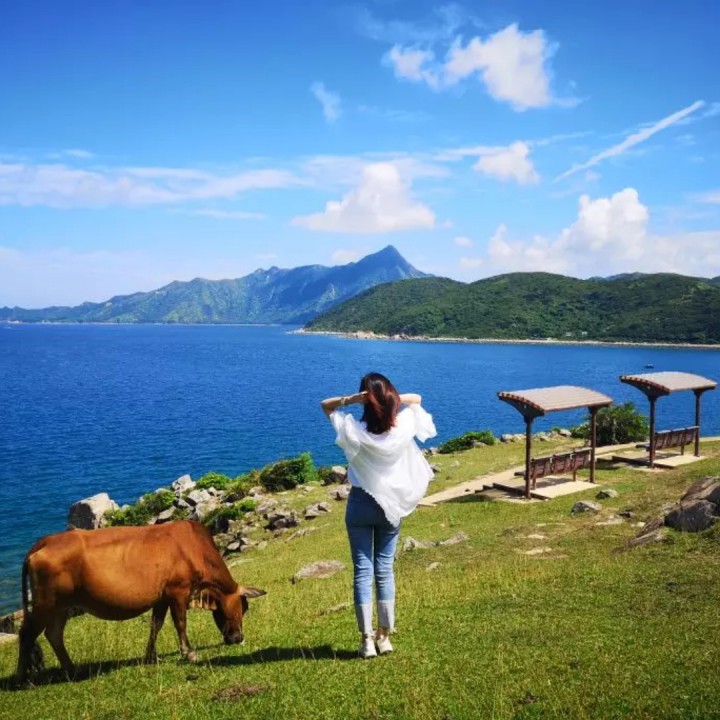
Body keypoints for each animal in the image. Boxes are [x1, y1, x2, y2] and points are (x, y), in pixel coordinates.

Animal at [16, 519, 266, 682]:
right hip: (45, 603)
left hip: (60, 606)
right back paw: (21, 677)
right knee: (26, 633)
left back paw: (72, 669)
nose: (237, 638)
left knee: (54, 634)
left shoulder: (161, 598)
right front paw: (189, 653)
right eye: (243, 608)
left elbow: (156, 625)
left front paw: (150, 657)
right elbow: (180, 623)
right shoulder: (178, 591)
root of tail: (46, 540)